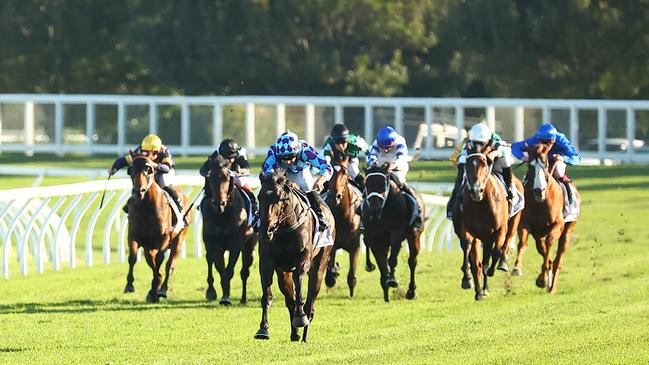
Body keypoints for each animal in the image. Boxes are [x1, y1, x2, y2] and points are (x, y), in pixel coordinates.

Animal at [123, 156, 191, 302]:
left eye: (149, 170)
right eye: (131, 171)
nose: (139, 191)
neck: (146, 208)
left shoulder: (164, 238)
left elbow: (160, 260)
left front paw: (156, 288)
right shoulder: (134, 236)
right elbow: (133, 257)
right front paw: (130, 285)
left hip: (179, 240)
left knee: (169, 266)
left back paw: (163, 289)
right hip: (149, 247)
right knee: (151, 260)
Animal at [200, 154, 256, 304]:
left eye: (226, 178)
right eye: (210, 178)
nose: (220, 203)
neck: (222, 214)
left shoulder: (236, 242)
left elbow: (229, 270)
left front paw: (226, 297)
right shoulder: (213, 242)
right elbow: (220, 269)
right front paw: (221, 294)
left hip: (249, 246)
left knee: (245, 272)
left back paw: (244, 298)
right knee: (209, 259)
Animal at [253, 171, 334, 342]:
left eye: (280, 198)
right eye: (260, 197)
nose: (265, 230)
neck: (285, 229)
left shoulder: (303, 259)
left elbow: (300, 290)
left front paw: (300, 317)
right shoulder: (267, 261)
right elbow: (267, 294)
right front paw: (263, 329)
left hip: (320, 265)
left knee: (310, 303)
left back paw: (304, 335)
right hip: (284, 274)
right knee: (290, 300)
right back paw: (295, 334)